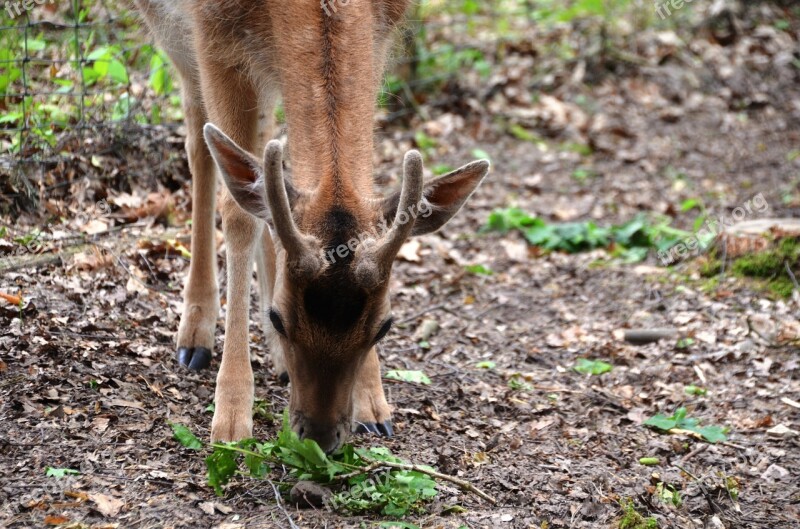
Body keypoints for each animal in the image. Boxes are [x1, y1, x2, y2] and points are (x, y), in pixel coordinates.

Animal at [134, 1, 490, 454]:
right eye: (279, 317)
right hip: (168, 30)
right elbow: (238, 214)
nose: (320, 436)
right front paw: (231, 419)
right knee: (199, 142)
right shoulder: (213, 38)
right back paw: (195, 334)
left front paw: (373, 405)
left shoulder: (382, 31)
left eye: (384, 326)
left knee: (263, 154)